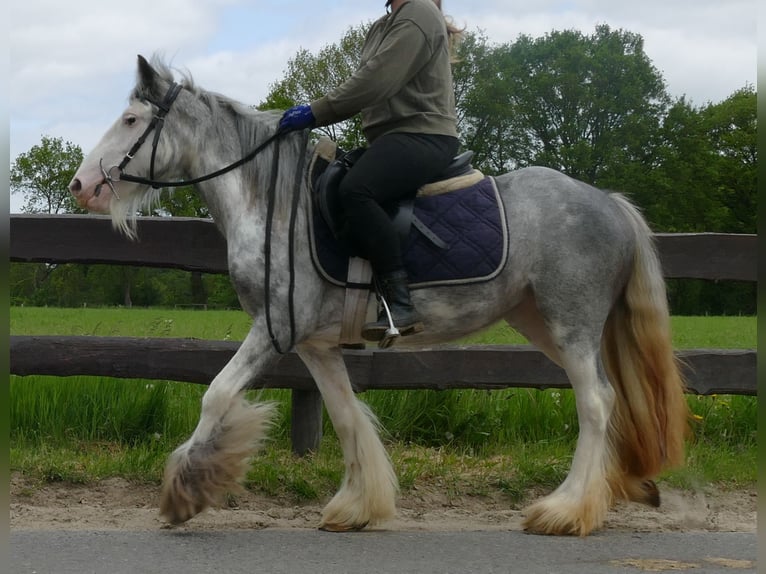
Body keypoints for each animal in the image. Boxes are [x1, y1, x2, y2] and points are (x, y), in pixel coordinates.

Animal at [67, 56, 688, 536]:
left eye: (130, 119)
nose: (81, 186)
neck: (273, 202)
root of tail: (609, 202)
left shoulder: (272, 331)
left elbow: (216, 395)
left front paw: (185, 491)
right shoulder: (314, 345)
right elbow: (346, 417)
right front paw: (357, 507)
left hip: (571, 323)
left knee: (596, 403)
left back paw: (566, 511)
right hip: (539, 322)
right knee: (602, 399)